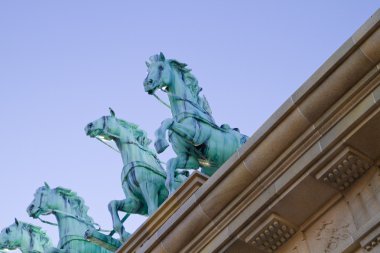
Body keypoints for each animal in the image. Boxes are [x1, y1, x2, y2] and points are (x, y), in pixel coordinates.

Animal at [85, 108, 189, 241]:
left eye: (105, 118)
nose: (88, 126)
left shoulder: (149, 187)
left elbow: (152, 211)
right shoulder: (135, 202)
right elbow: (112, 204)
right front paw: (124, 235)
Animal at [143, 52, 249, 193]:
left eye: (161, 67)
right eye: (148, 70)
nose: (147, 84)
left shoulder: (195, 135)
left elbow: (168, 122)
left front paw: (160, 143)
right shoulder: (190, 158)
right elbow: (171, 163)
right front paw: (172, 192)